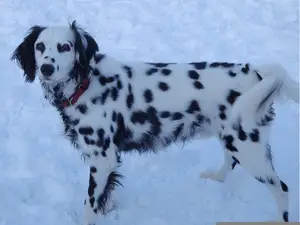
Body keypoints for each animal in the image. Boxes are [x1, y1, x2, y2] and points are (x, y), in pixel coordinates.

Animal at [10, 20, 298, 223]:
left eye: (65, 47)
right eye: (40, 47)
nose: (46, 69)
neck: (87, 83)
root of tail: (255, 71)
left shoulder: (102, 159)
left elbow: (90, 204)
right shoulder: (106, 161)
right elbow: (104, 197)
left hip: (248, 147)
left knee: (282, 189)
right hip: (232, 137)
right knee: (230, 161)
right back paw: (215, 178)